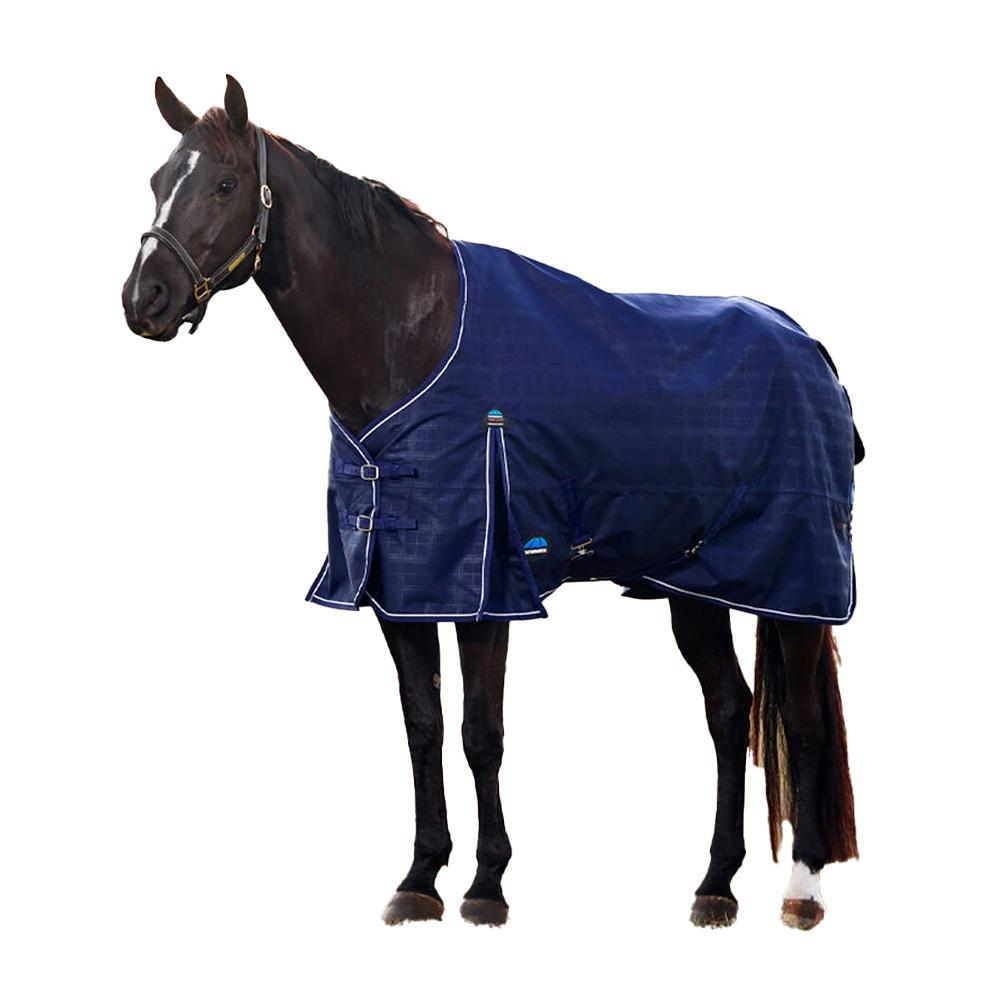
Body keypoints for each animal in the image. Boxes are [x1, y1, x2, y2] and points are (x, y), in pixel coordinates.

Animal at [122, 76, 859, 931]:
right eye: (157, 181)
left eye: (226, 183)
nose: (144, 299)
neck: (409, 343)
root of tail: (809, 348)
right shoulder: (400, 588)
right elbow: (424, 726)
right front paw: (419, 876)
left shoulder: (484, 585)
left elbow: (482, 732)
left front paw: (486, 884)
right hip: (695, 586)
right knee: (729, 712)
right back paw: (714, 883)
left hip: (795, 582)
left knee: (801, 721)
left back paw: (802, 890)